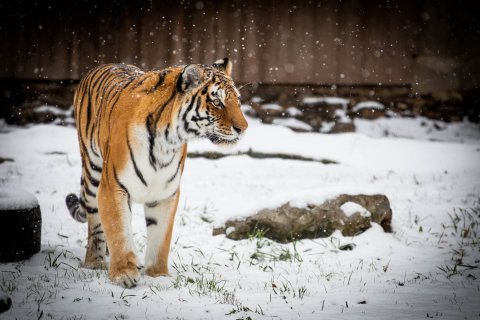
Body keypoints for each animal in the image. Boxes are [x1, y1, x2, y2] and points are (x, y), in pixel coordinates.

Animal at [64, 57, 248, 288]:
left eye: (238, 101)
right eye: (217, 102)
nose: (244, 128)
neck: (167, 141)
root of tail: (103, 65)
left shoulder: (165, 194)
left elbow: (161, 238)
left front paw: (158, 276)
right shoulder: (113, 187)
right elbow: (119, 231)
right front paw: (124, 274)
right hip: (93, 173)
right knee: (95, 223)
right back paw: (94, 262)